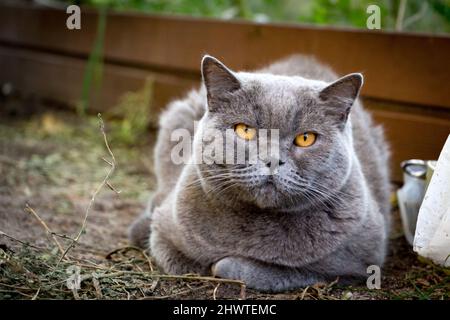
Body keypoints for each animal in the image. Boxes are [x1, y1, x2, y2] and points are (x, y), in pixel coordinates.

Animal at [129, 55, 390, 292]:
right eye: (245, 130)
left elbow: (290, 272)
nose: (272, 160)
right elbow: (180, 257)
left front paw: (225, 265)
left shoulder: (362, 262)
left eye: (306, 138)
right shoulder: (164, 232)